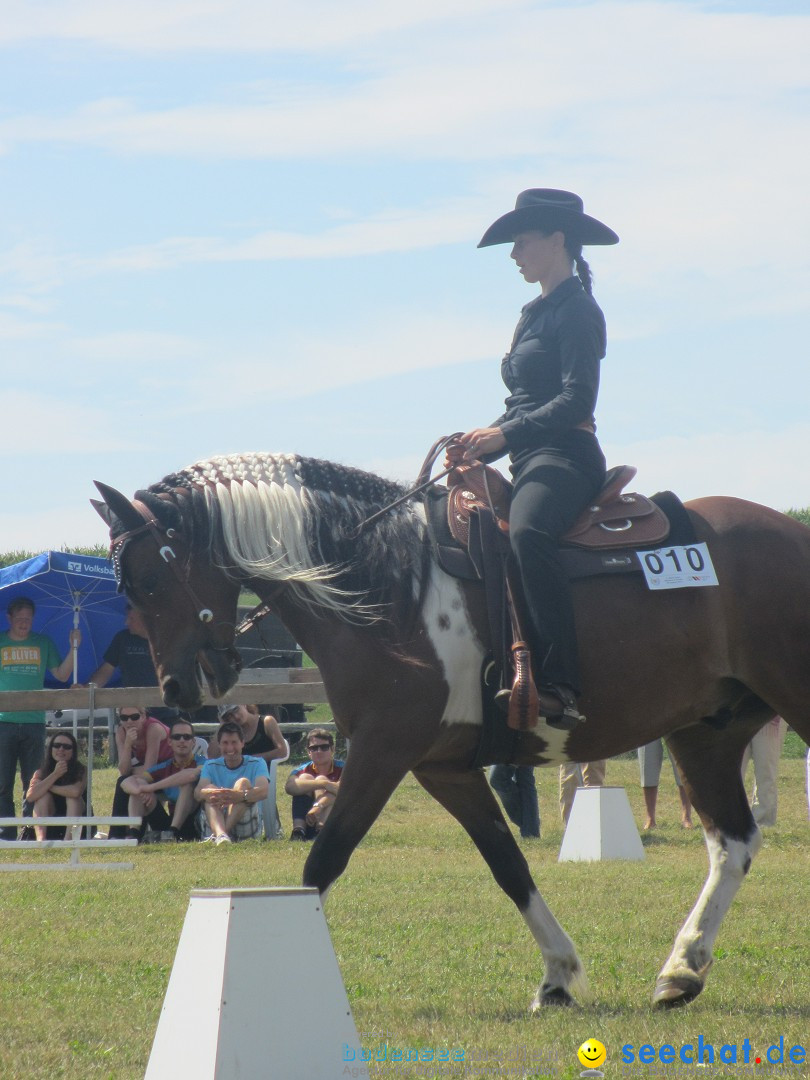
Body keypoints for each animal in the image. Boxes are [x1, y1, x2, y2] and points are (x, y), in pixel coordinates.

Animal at [91, 451, 810, 1006]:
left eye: (149, 578)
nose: (177, 689)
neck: (389, 587)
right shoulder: (442, 766)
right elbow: (507, 862)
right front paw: (558, 976)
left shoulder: (382, 752)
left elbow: (323, 860)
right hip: (705, 732)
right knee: (733, 844)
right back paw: (682, 971)